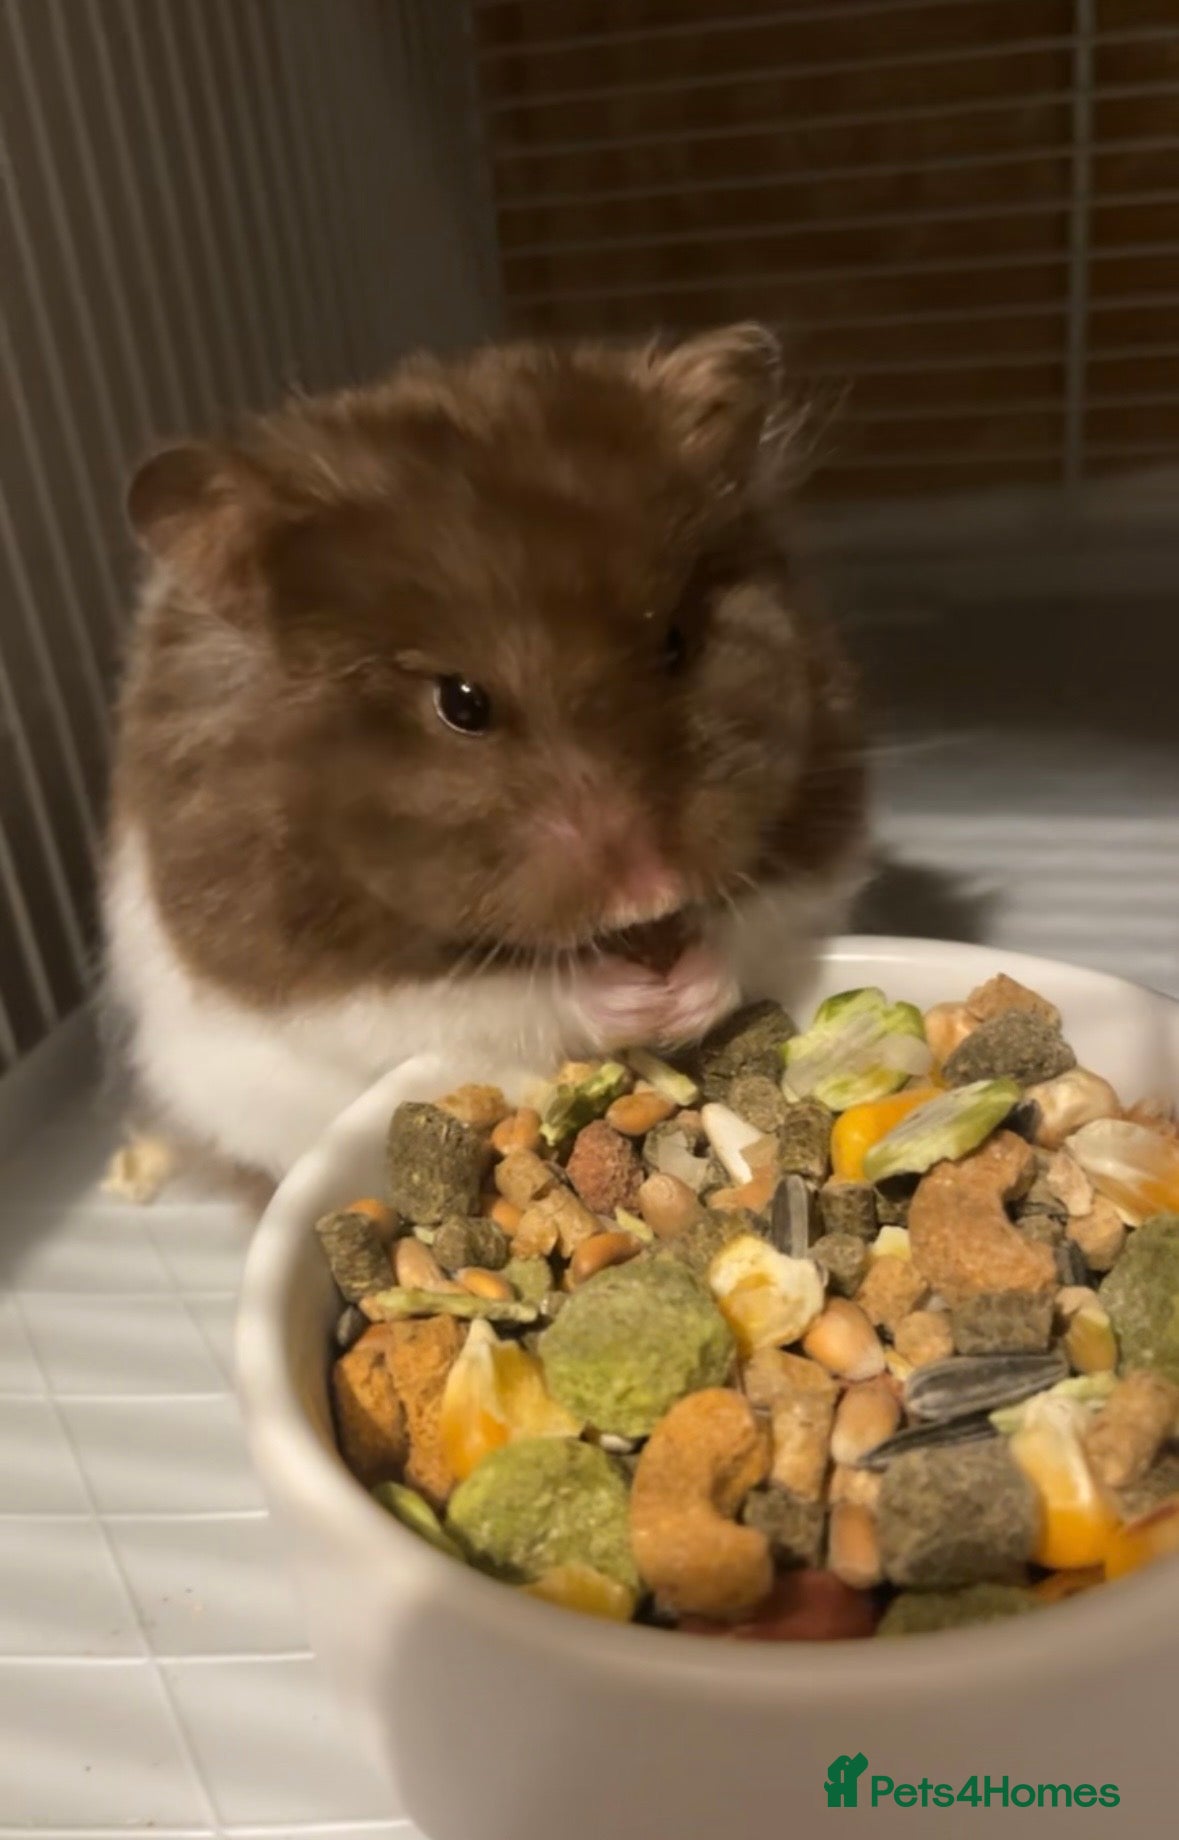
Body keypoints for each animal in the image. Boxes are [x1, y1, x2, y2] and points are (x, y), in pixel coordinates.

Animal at [103, 325, 865, 1181]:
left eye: (674, 644)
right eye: (461, 702)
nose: (651, 893)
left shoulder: (822, 836)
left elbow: (759, 920)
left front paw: (689, 984)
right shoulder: (313, 974)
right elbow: (485, 998)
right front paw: (633, 1000)